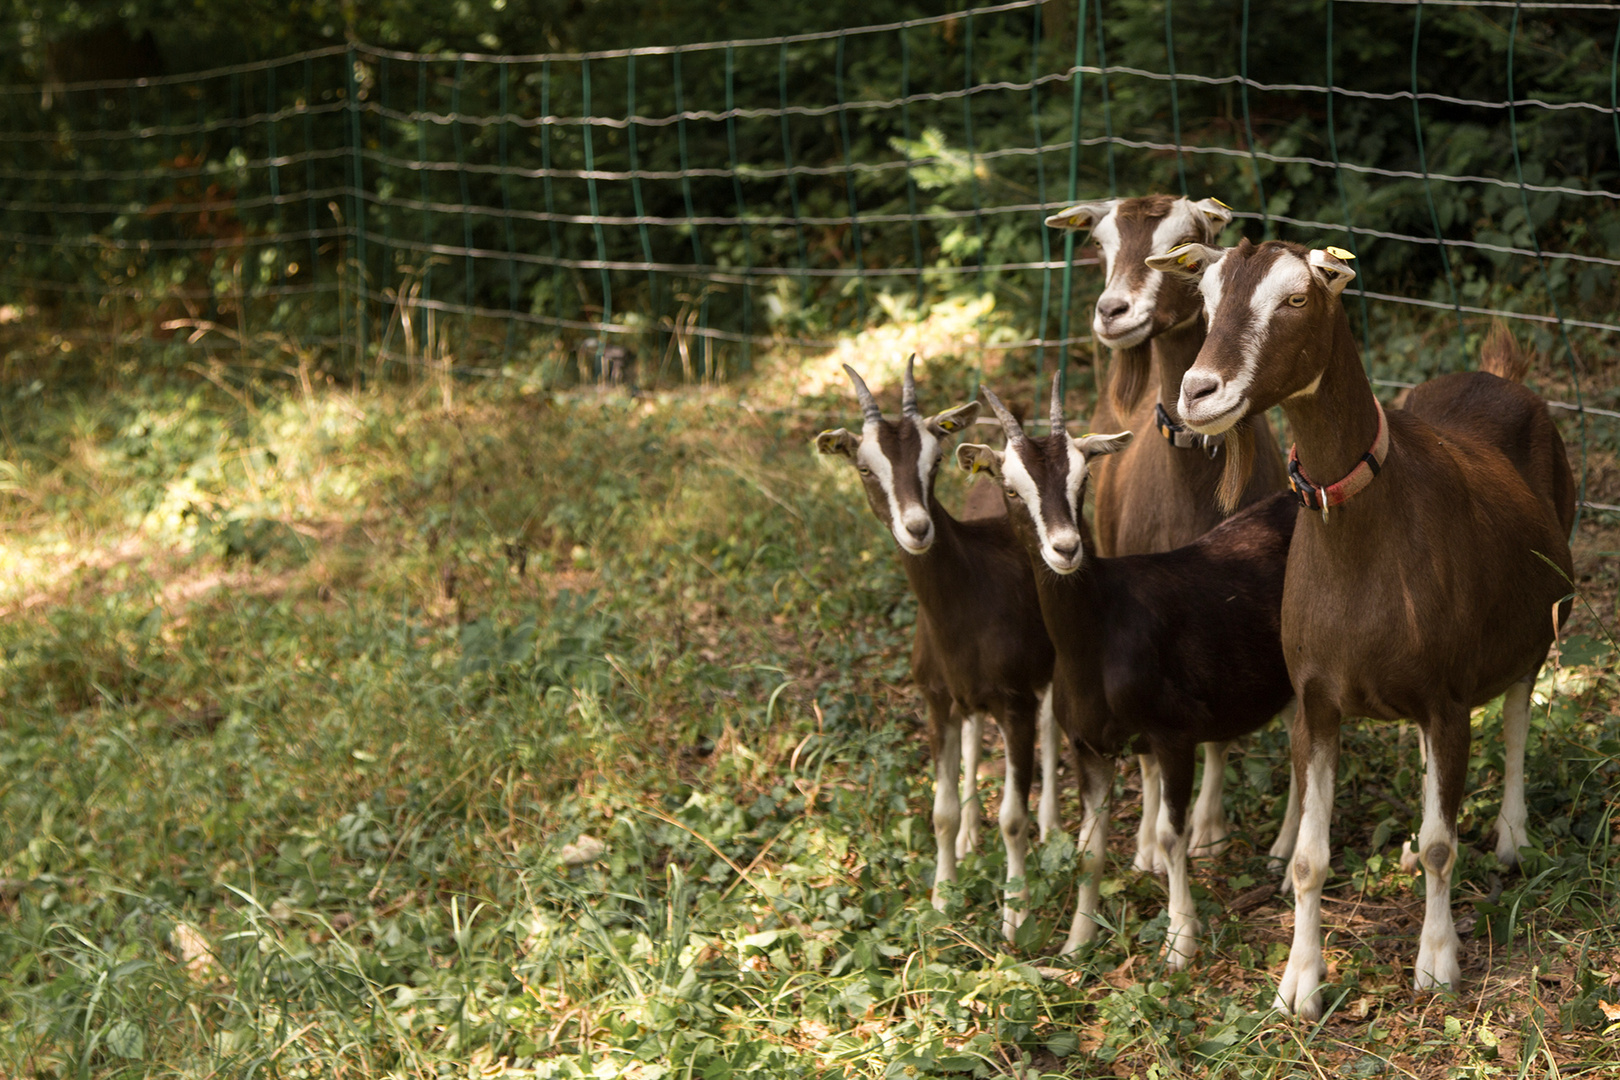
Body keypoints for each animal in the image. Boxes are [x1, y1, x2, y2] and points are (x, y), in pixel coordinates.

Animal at [810, 362, 1062, 939]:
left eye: (936, 460)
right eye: (864, 467)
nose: (917, 527)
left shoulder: (1016, 702)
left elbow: (1012, 816)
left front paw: (1016, 913)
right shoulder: (935, 698)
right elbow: (940, 810)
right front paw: (943, 900)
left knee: (1052, 725)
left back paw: (1052, 824)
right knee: (973, 737)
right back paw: (970, 836)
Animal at [959, 380, 1289, 965]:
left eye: (1083, 478)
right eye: (1011, 489)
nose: (1065, 548)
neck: (1101, 631)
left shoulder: (1174, 735)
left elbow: (1171, 835)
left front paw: (1180, 943)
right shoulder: (1089, 747)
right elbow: (1089, 851)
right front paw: (1076, 944)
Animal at [1049, 196, 1302, 867]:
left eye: (1180, 243)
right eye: (1101, 245)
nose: (1113, 311)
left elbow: (1213, 734)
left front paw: (1208, 829)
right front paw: (1149, 846)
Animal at [1153, 238, 1581, 1023]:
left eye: (1297, 298)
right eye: (1206, 295)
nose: (1199, 391)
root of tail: (1500, 374)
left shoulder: (1448, 699)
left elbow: (1446, 844)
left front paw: (1437, 963)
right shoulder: (1317, 701)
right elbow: (1308, 858)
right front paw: (1299, 982)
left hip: (1543, 619)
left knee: (1517, 713)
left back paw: (1511, 835)